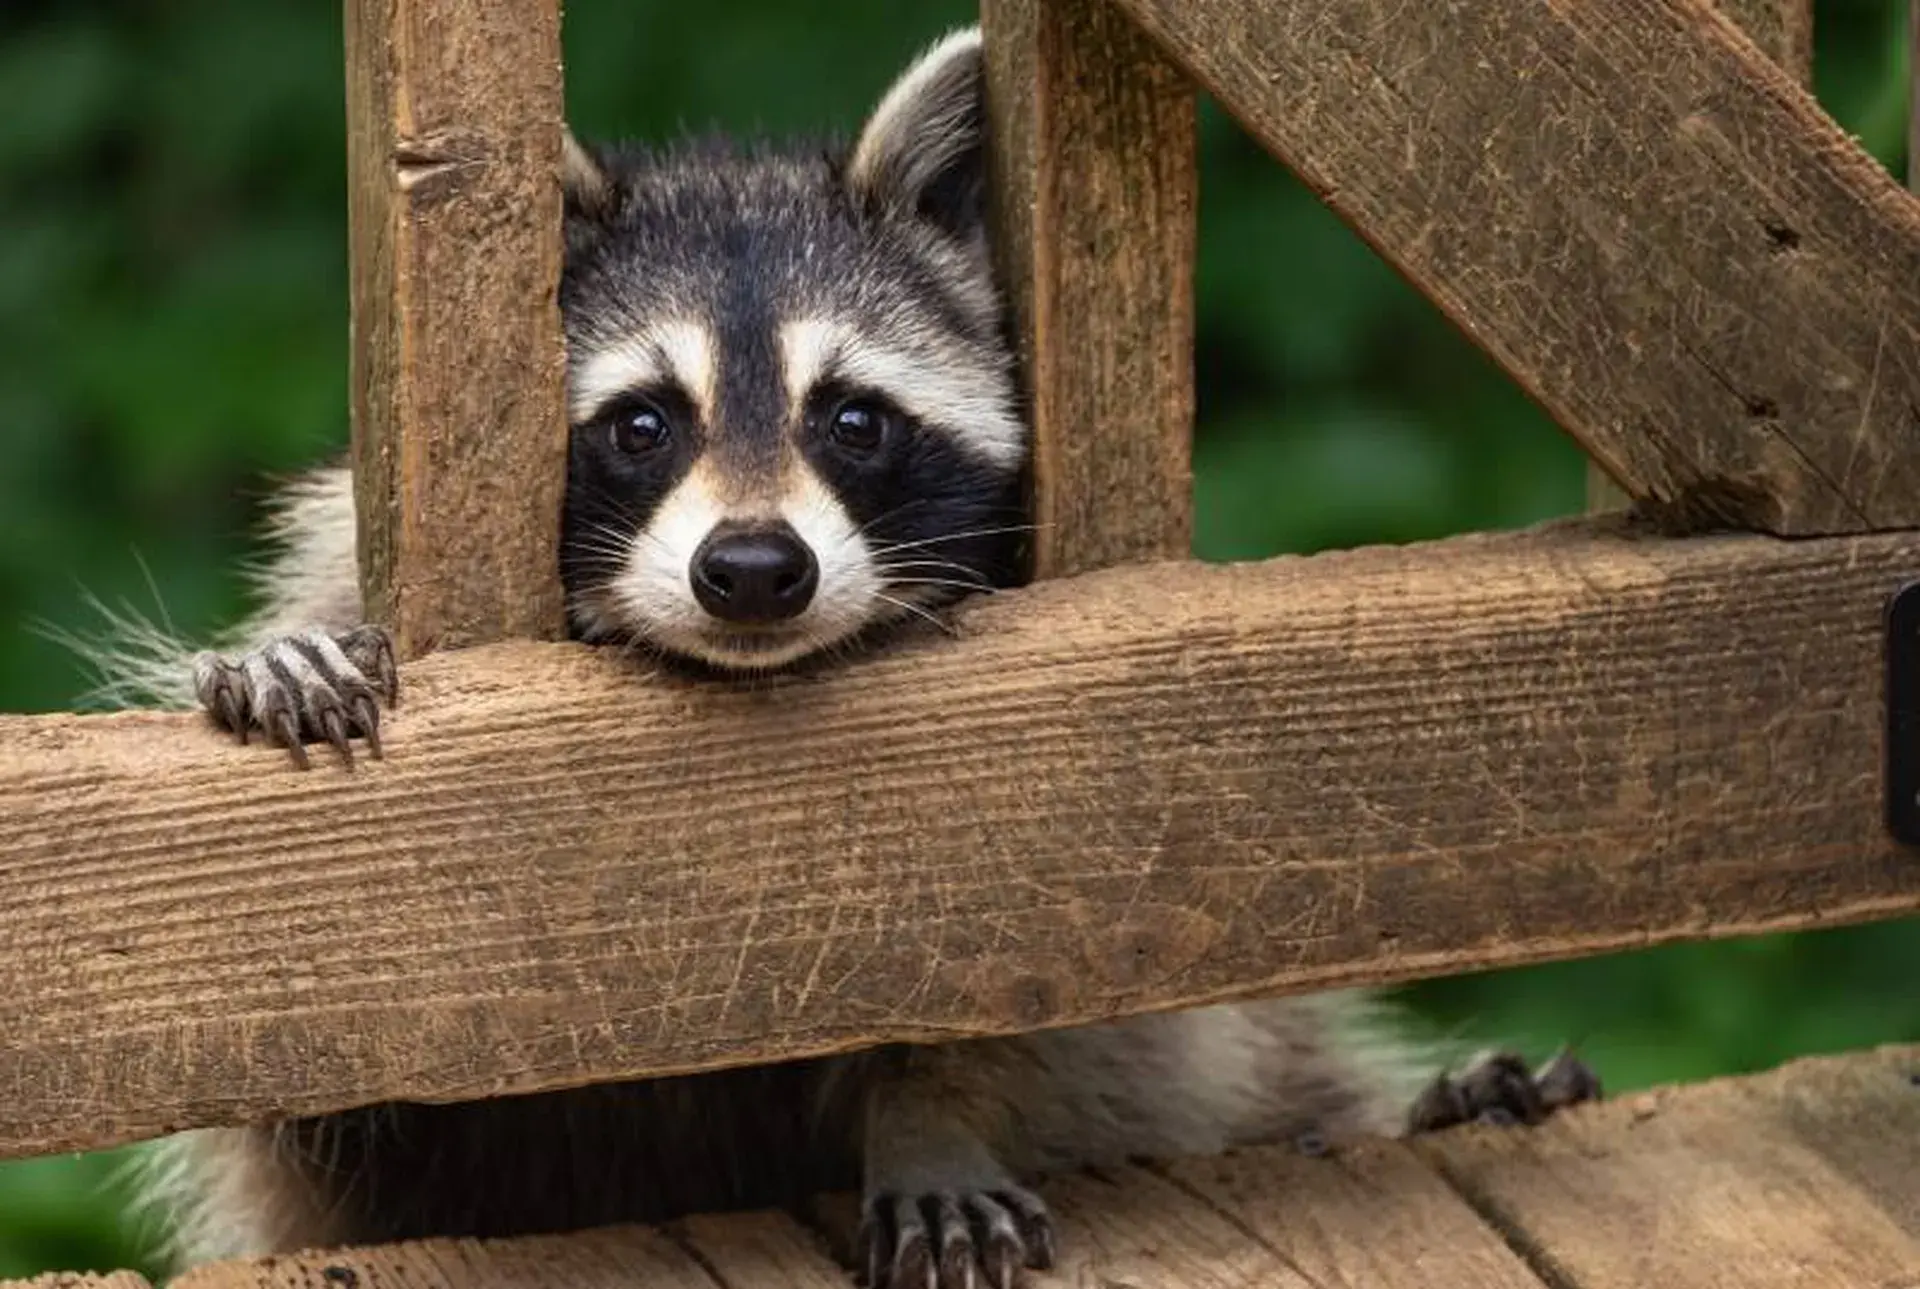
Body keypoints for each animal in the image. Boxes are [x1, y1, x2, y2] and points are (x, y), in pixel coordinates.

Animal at [89, 27, 1599, 1289]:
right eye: (642, 423)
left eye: (854, 419)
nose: (755, 570)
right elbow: (349, 1066)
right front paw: (289, 656)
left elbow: (1046, 992)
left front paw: (927, 1111)